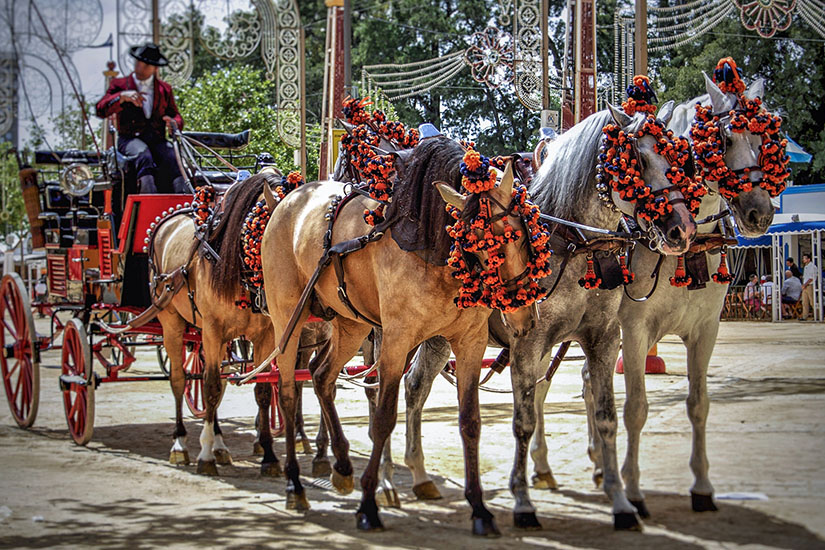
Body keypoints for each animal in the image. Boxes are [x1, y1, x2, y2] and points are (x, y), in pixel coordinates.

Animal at [260, 138, 540, 540]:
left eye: (521, 231)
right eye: (481, 245)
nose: (522, 313)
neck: (430, 248)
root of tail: (290, 198)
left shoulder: (469, 343)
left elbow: (470, 422)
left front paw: (479, 509)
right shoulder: (395, 341)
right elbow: (383, 418)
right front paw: (369, 505)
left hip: (351, 324)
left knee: (322, 376)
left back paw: (341, 464)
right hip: (288, 318)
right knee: (286, 390)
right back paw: (295, 485)